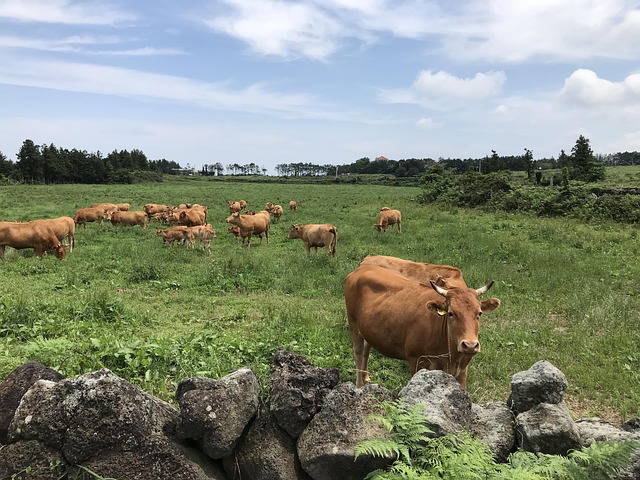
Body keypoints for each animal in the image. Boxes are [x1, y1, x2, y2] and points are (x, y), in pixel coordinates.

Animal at [344, 264, 500, 388]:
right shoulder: (416, 361)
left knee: (366, 349)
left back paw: (365, 377)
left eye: (479, 313)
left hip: (367, 328)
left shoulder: (463, 369)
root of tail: (361, 269)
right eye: (451, 313)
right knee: (358, 352)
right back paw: (359, 385)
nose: (470, 345)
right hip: (353, 323)